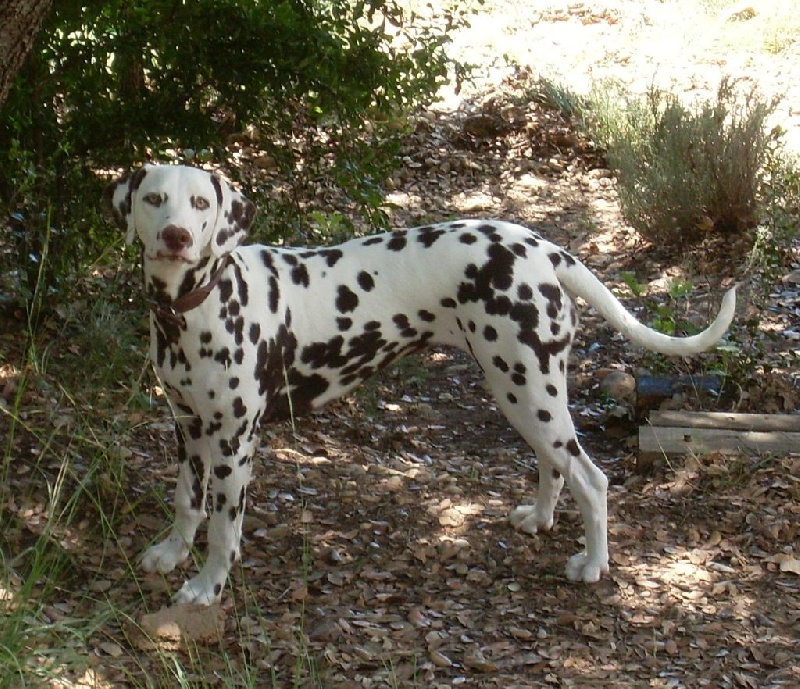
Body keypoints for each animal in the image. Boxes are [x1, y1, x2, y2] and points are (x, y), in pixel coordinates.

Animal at [109, 164, 736, 604]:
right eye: (153, 198)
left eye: (200, 203)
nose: (176, 236)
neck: (196, 305)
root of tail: (545, 249)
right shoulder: (188, 426)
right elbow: (187, 502)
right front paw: (172, 552)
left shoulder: (233, 441)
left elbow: (222, 525)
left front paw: (207, 586)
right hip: (525, 392)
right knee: (555, 464)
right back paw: (539, 519)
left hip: (525, 391)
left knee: (592, 477)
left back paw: (592, 565)